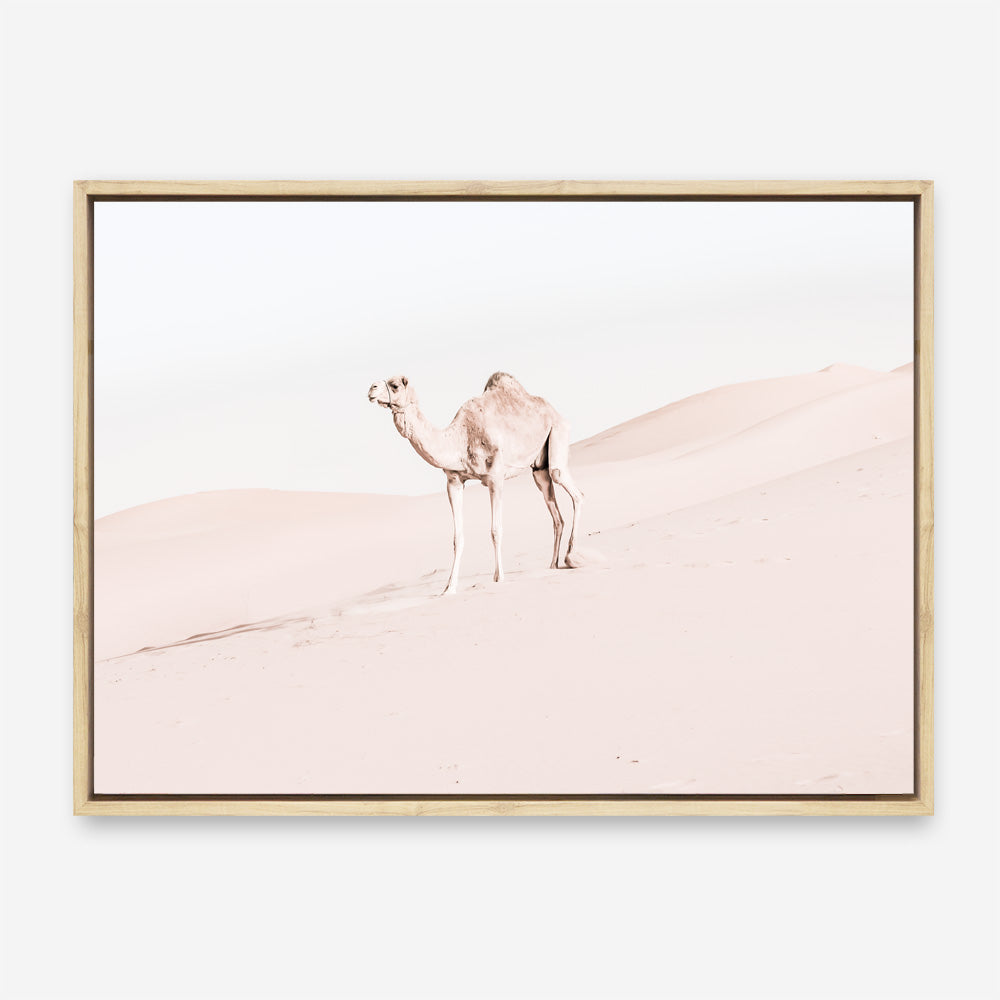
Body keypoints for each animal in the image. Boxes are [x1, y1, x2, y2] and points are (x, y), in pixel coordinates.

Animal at [368, 372, 584, 595]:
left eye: (394, 385)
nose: (371, 389)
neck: (460, 439)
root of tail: (556, 412)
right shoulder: (453, 481)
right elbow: (457, 537)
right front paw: (449, 587)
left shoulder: (496, 478)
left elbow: (496, 530)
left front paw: (499, 578)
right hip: (539, 469)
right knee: (556, 513)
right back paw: (553, 564)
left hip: (558, 432)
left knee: (569, 485)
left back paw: (572, 556)